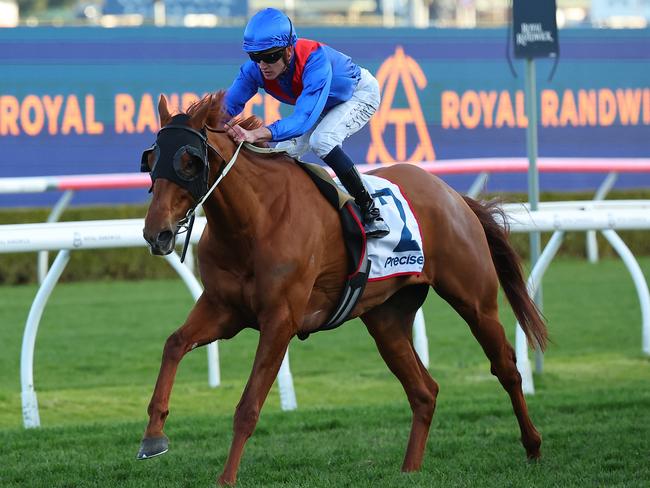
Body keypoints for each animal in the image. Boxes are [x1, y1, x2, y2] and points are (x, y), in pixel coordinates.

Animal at [138, 91, 548, 484]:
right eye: (151, 159)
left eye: (188, 161)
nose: (156, 233)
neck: (253, 221)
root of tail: (452, 195)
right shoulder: (223, 309)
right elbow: (174, 343)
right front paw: (153, 436)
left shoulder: (280, 320)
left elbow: (248, 406)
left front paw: (226, 478)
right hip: (387, 319)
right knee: (424, 391)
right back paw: (409, 470)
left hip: (474, 299)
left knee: (506, 368)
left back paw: (533, 446)